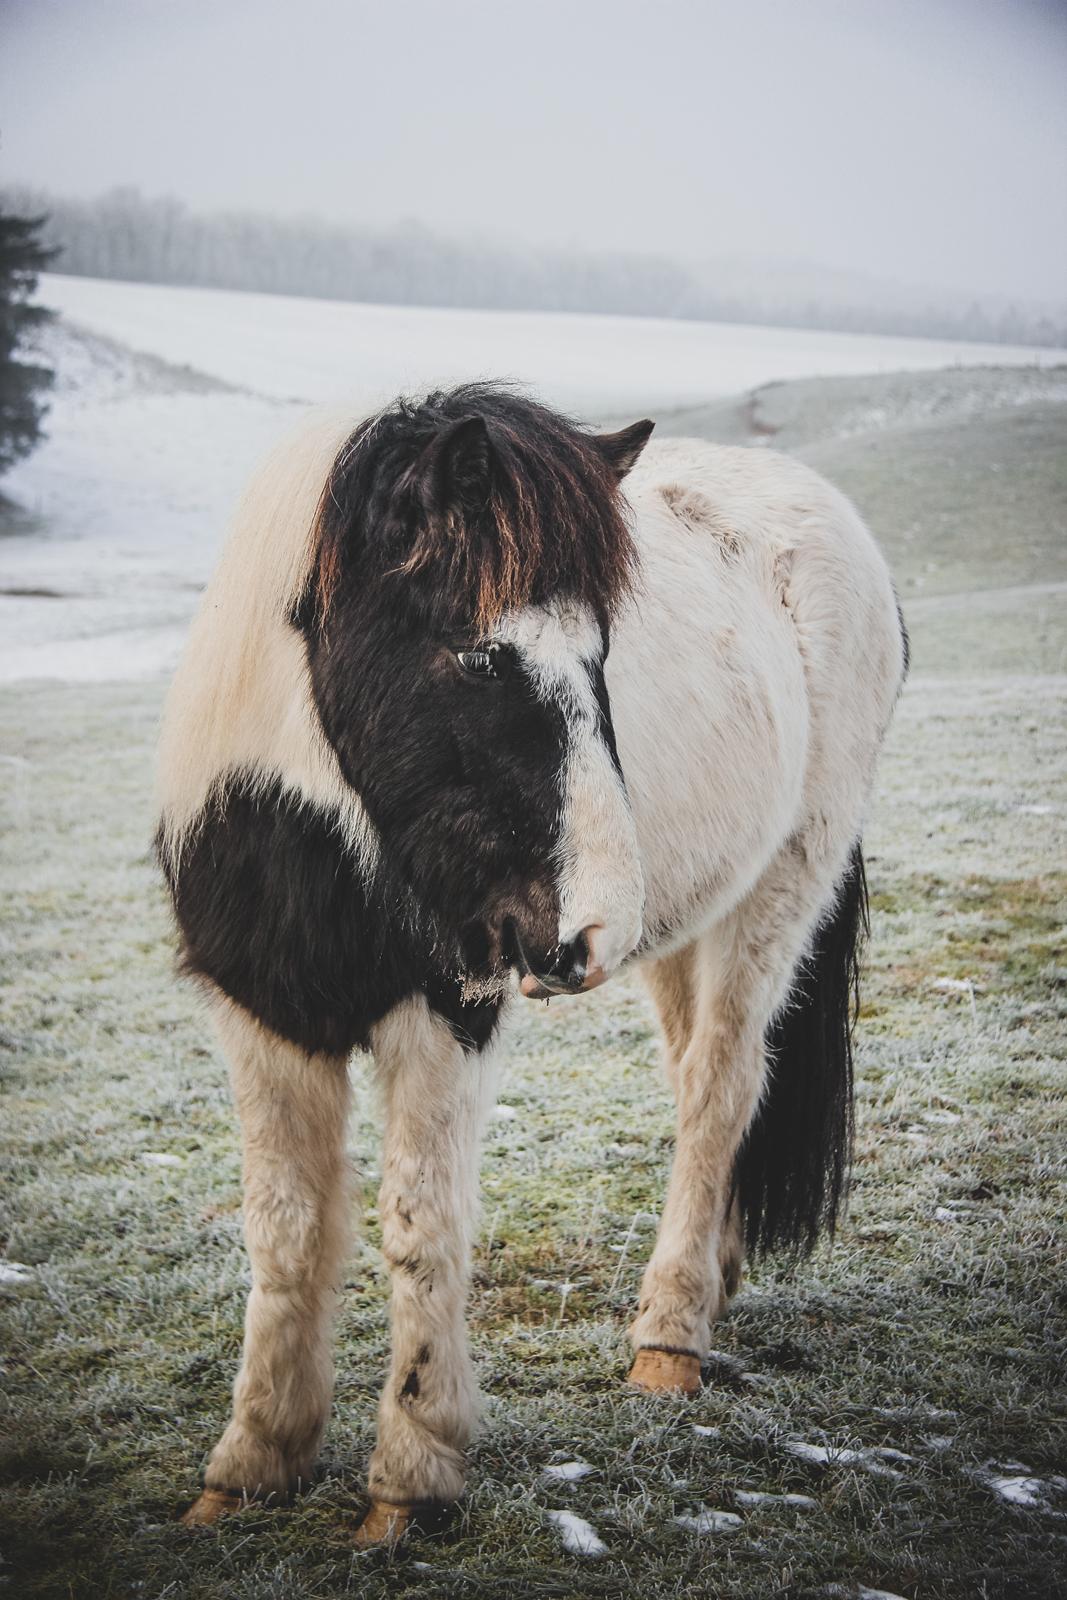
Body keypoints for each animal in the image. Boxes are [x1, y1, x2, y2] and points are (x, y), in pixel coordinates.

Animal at [156, 380, 908, 1542]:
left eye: (601, 656)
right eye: (477, 655)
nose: (591, 927)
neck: (316, 828)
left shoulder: (445, 1010)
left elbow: (419, 1226)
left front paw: (411, 1477)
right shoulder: (263, 1012)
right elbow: (282, 1234)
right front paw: (249, 1464)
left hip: (782, 886)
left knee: (721, 1086)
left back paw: (668, 1336)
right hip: (687, 923)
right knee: (696, 1078)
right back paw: (713, 1274)